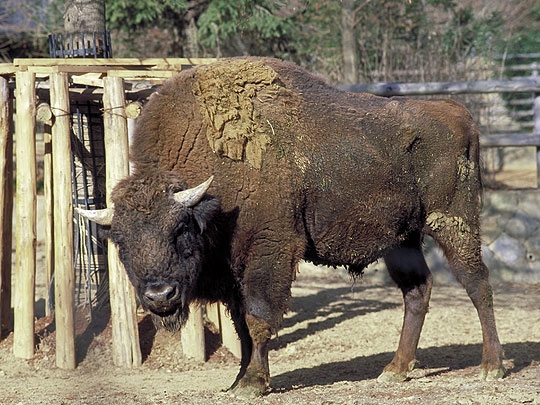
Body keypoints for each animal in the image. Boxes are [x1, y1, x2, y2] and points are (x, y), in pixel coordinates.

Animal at [78, 56, 504, 394]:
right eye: (120, 241)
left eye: (180, 228)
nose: (159, 296)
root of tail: (460, 114)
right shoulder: (233, 273)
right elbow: (242, 328)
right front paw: (240, 381)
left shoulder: (270, 251)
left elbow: (258, 317)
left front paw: (251, 384)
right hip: (403, 240)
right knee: (417, 290)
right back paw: (395, 370)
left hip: (454, 222)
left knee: (477, 283)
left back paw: (491, 367)